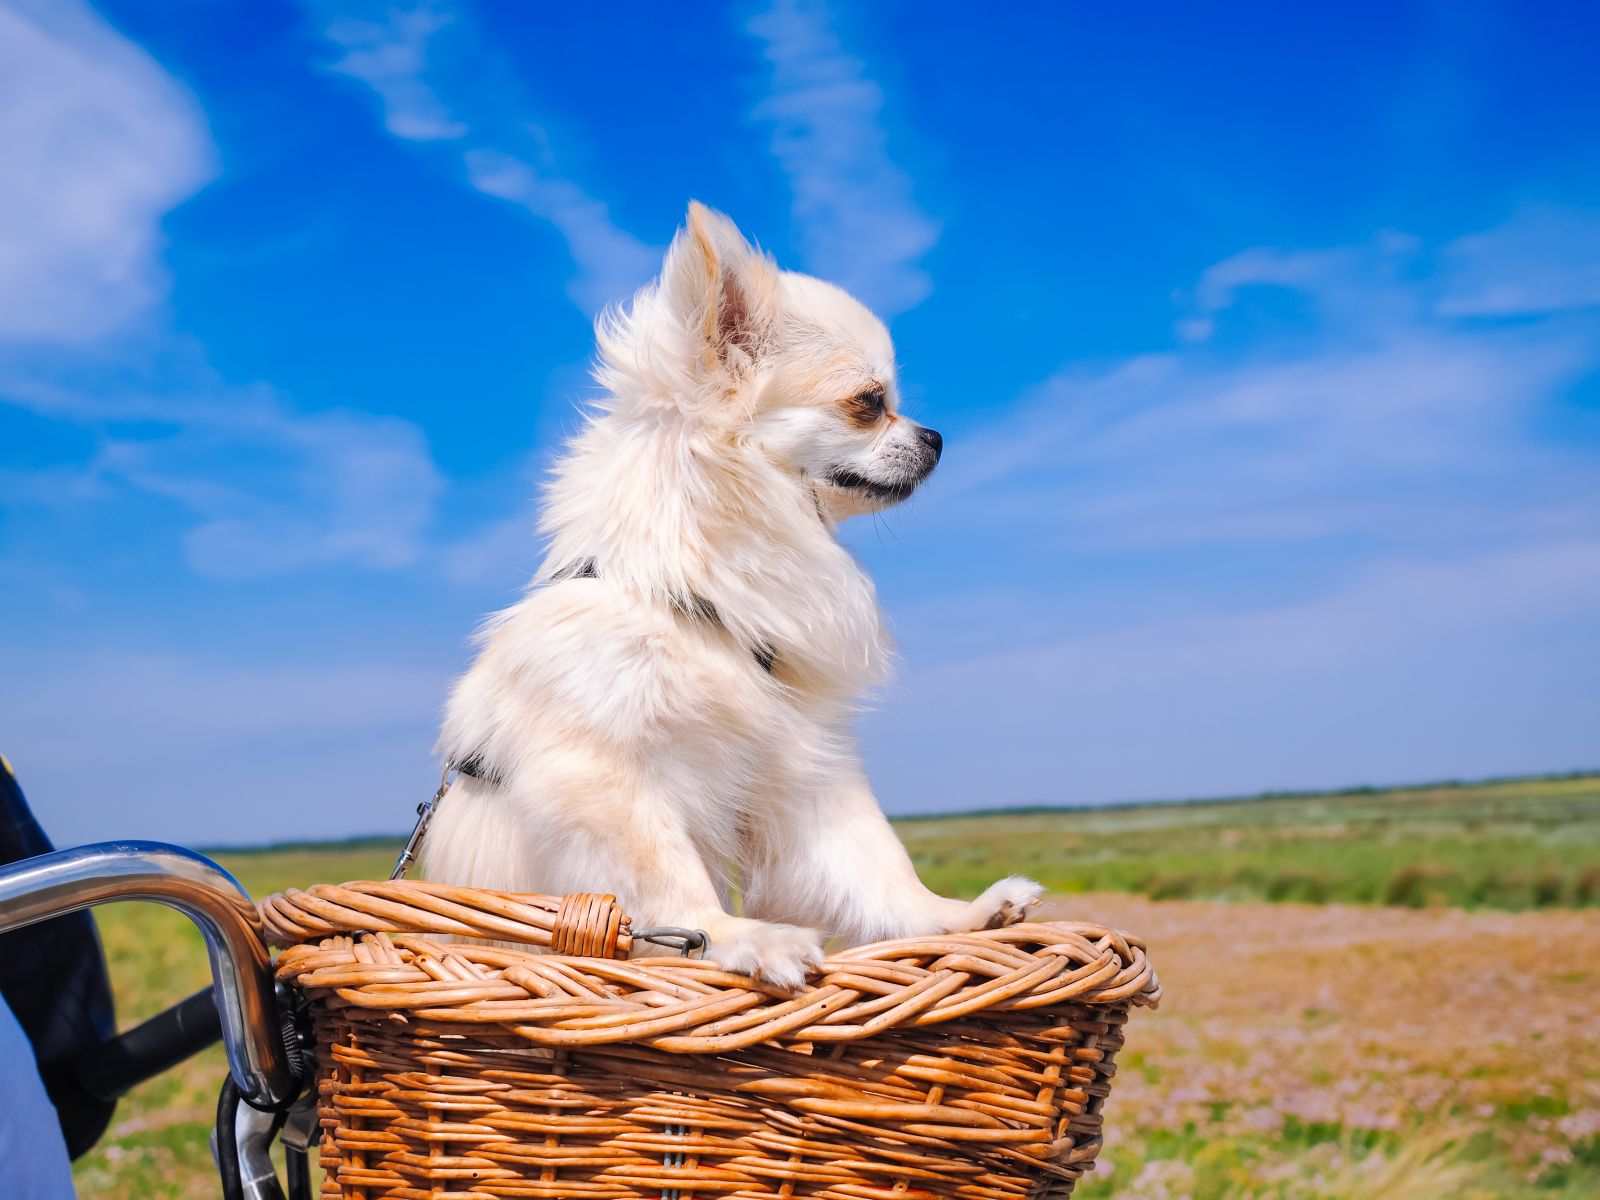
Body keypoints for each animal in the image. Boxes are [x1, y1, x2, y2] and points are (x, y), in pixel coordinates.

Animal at [425, 202, 1043, 985]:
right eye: (869, 404)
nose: (936, 436)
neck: (699, 605)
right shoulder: (603, 779)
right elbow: (667, 882)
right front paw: (742, 938)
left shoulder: (802, 768)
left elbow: (875, 865)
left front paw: (956, 918)